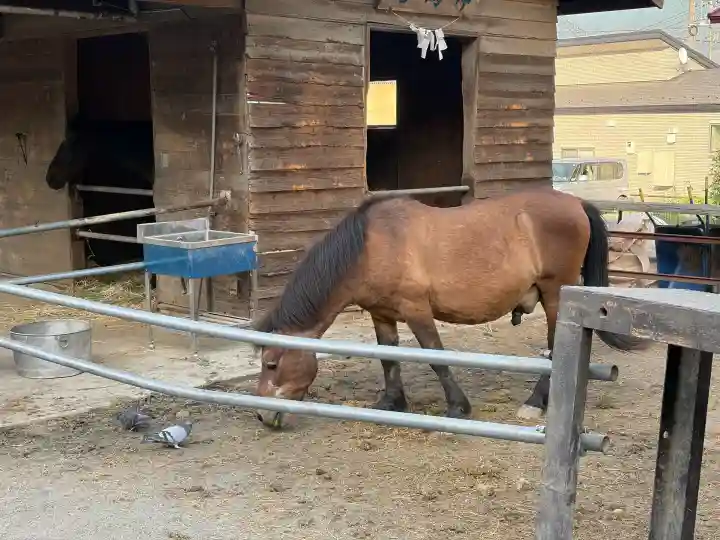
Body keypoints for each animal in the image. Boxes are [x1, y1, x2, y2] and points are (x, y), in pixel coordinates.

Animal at [252, 188, 647, 429]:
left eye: (272, 364)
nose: (260, 415)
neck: (371, 246)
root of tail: (576, 202)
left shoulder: (416, 310)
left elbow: (435, 356)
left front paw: (458, 407)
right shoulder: (382, 314)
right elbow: (389, 358)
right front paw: (391, 402)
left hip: (554, 296)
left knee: (553, 350)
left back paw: (535, 402)